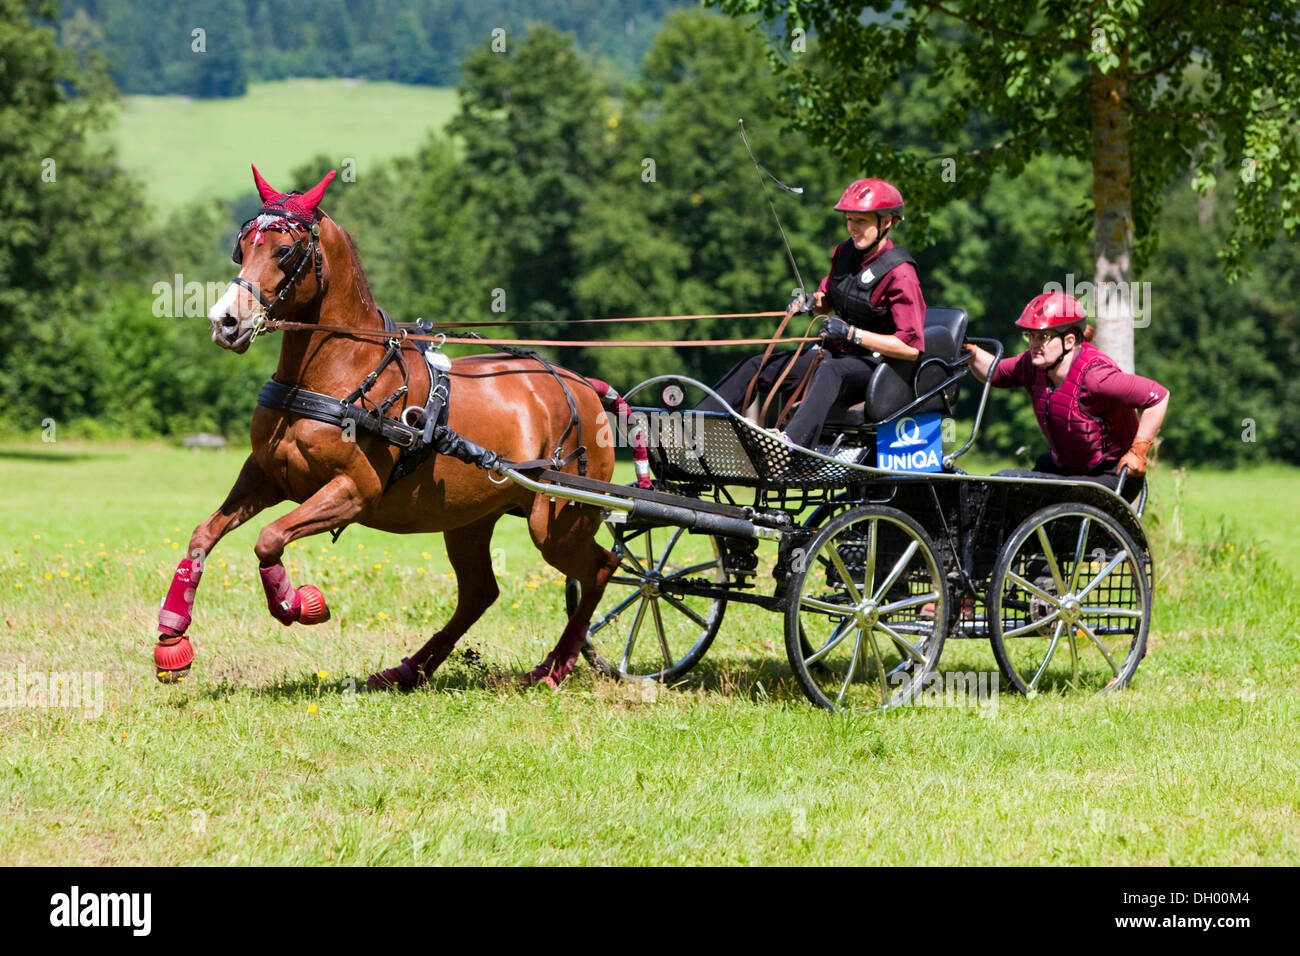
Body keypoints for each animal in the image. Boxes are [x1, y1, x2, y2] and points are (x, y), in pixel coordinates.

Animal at [153, 165, 620, 691]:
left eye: (284, 250)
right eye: (241, 246)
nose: (226, 322)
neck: (341, 374)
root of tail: (583, 387)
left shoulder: (354, 491)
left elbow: (269, 538)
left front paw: (298, 604)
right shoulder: (266, 475)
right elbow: (203, 536)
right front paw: (172, 639)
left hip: (558, 522)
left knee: (601, 568)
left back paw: (554, 667)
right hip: (470, 520)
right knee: (480, 592)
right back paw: (408, 670)